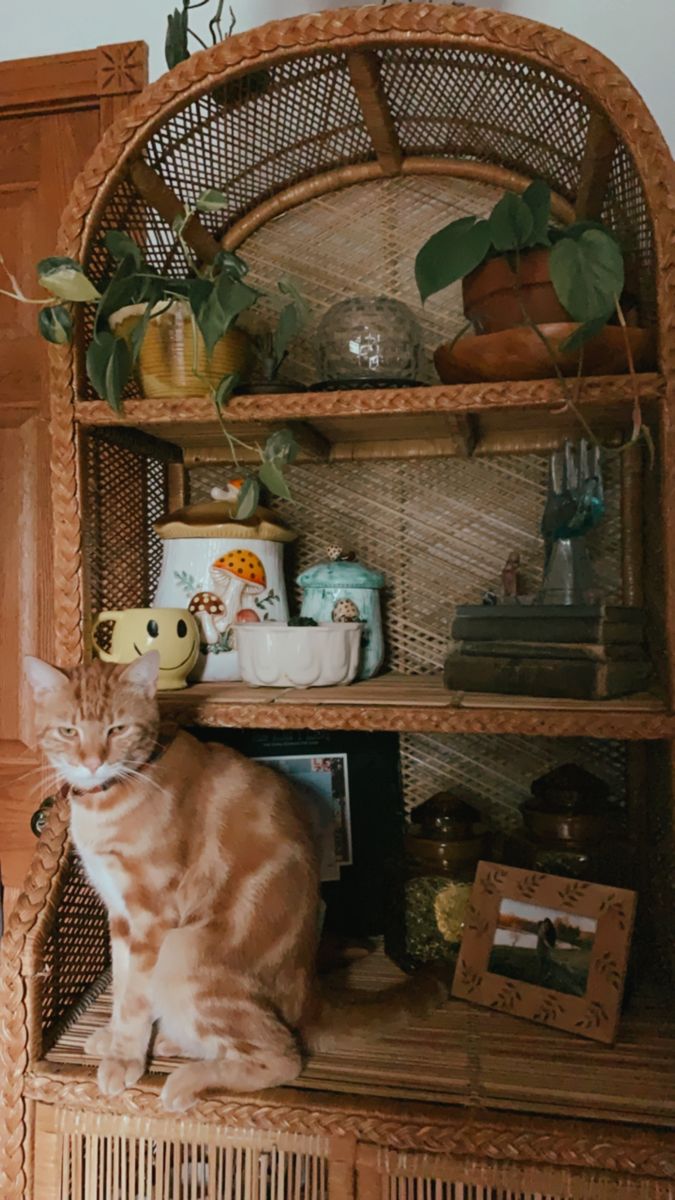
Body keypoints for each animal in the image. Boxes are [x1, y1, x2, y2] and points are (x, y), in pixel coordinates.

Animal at [24, 652, 441, 1108]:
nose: (92, 761)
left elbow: (135, 996)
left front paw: (124, 1057)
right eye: (68, 731)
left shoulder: (151, 916)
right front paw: (117, 1036)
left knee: (283, 1056)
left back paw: (185, 1080)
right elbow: (121, 983)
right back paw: (170, 1041)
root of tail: (309, 991)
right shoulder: (120, 916)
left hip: (183, 953)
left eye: (118, 729)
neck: (109, 798)